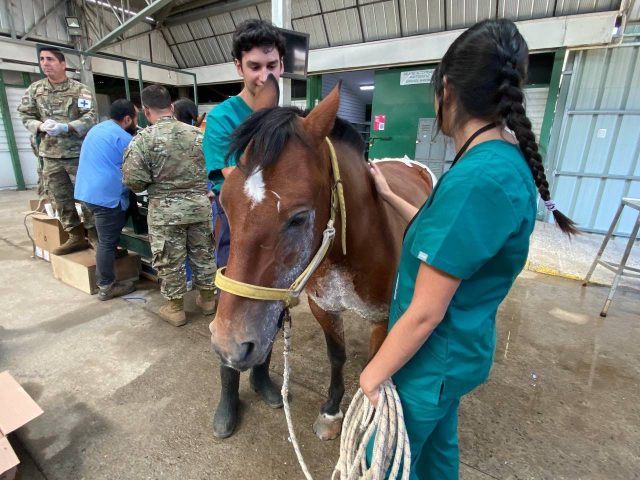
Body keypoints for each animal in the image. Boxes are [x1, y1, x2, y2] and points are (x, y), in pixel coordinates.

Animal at [210, 78, 436, 438]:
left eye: (299, 218)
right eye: (225, 204)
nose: (227, 344)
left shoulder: (383, 319)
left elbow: (373, 368)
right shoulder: (324, 307)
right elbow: (337, 356)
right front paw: (331, 411)